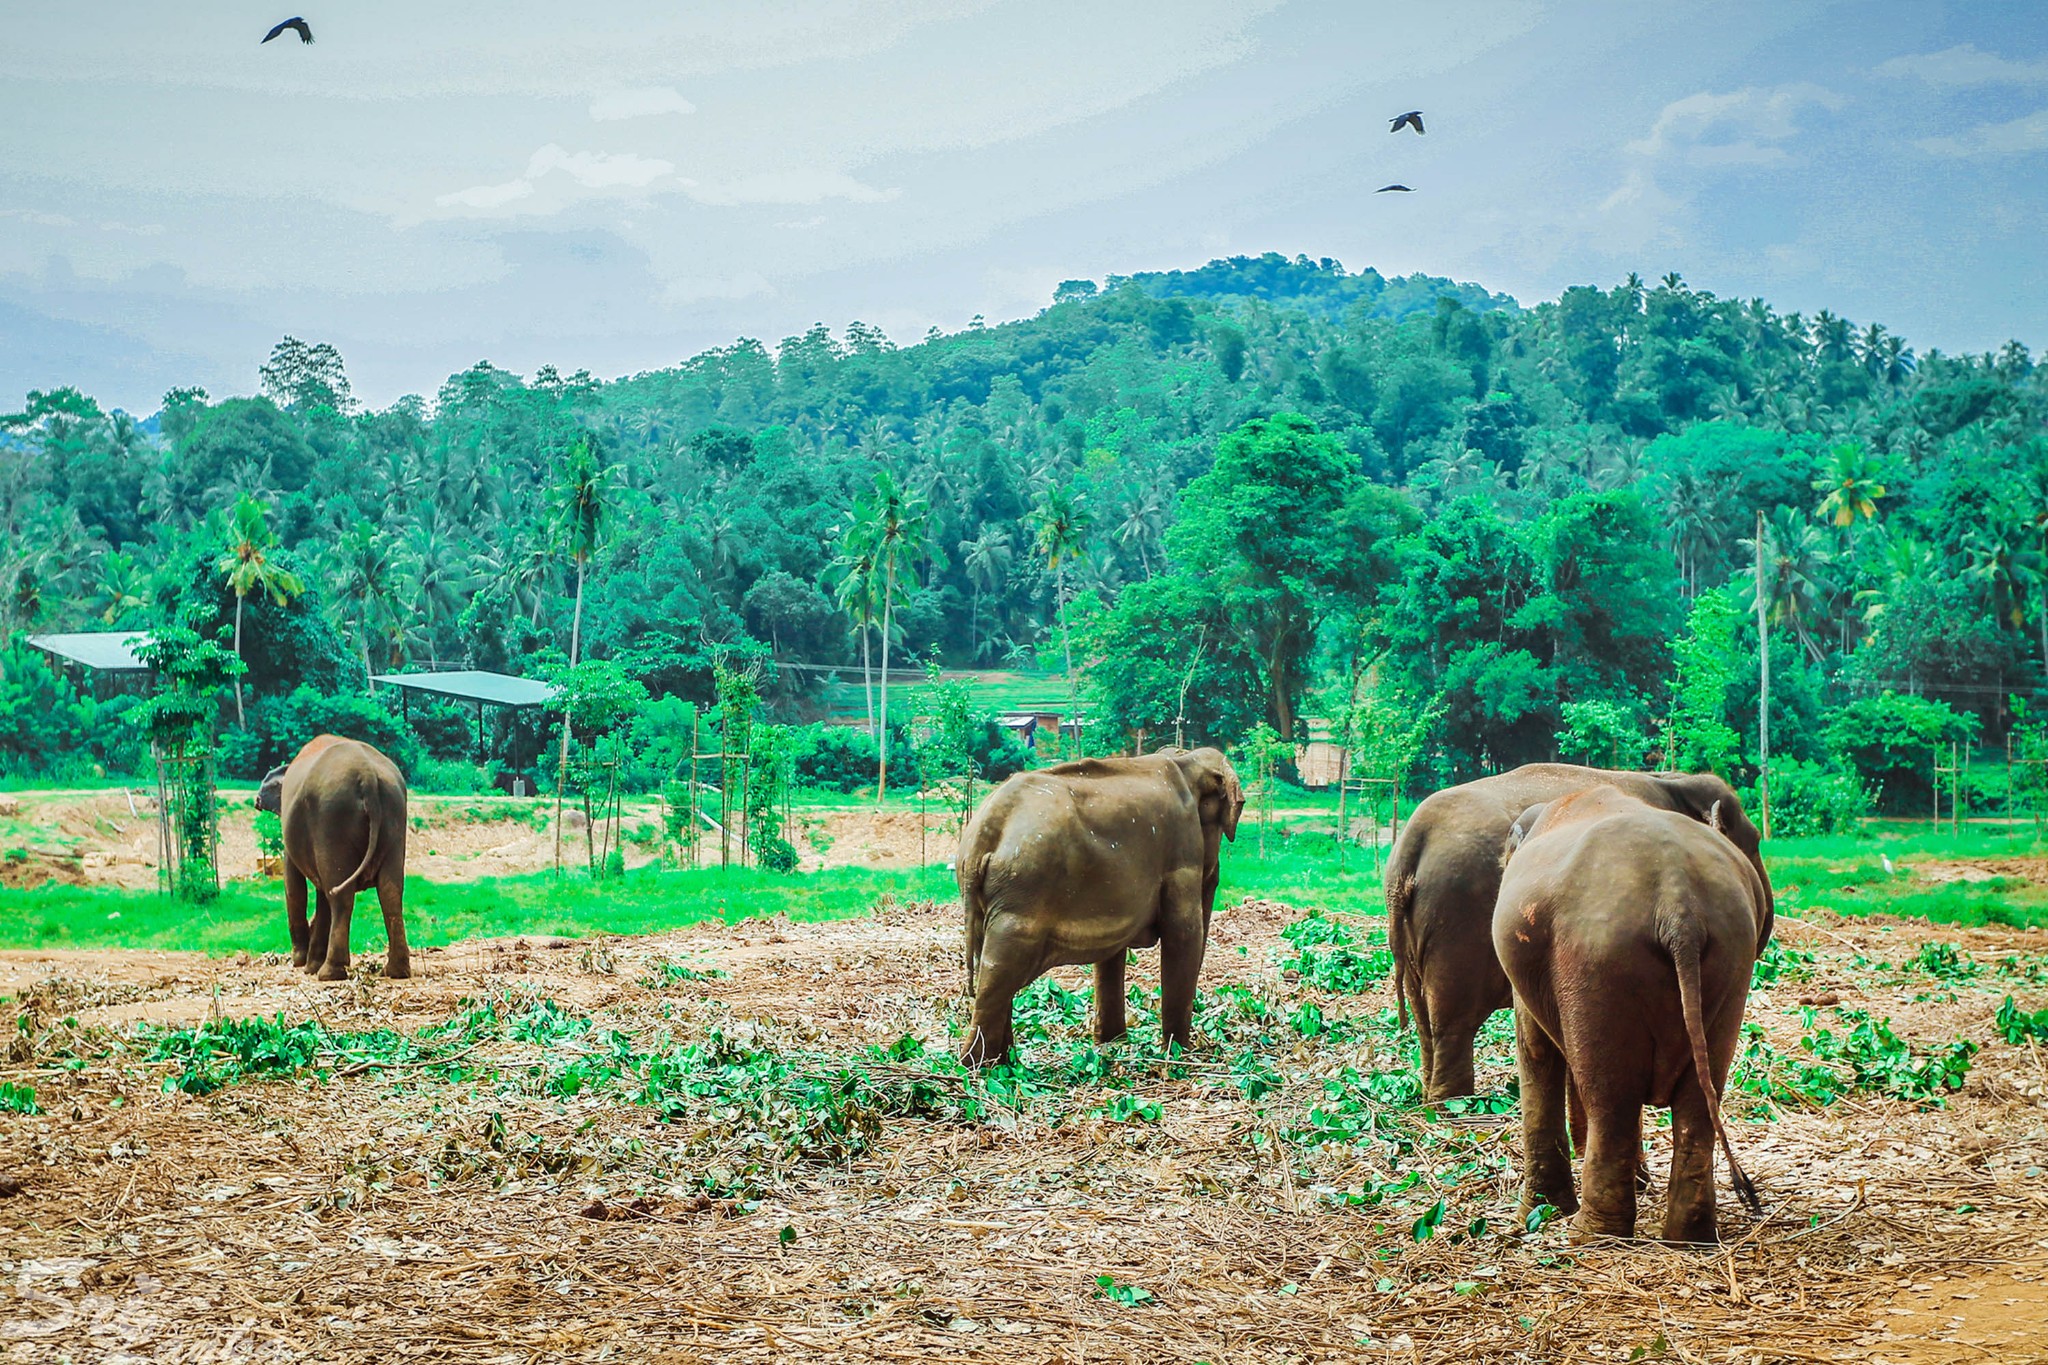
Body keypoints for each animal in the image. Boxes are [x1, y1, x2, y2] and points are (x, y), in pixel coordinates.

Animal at [256, 736, 411, 982]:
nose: (256, 801)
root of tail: (367, 775)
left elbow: (294, 885)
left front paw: (301, 962)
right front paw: (309, 964)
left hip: (332, 818)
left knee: (339, 896)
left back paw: (329, 973)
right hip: (394, 816)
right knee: (390, 892)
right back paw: (395, 972)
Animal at [962, 749, 1245, 1064]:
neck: (1185, 761)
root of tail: (984, 832)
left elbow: (1112, 952)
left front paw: (1112, 1044)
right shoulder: (1181, 853)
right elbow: (1183, 936)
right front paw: (1178, 1053)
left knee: (992, 966)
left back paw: (1006, 1062)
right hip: (1023, 894)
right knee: (998, 971)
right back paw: (978, 1067)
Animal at [1384, 769, 1769, 1096]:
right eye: (1754, 841)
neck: (1672, 781)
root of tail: (1412, 841)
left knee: (1423, 1016)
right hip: (1457, 921)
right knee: (1453, 1022)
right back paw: (1454, 1104)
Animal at [1499, 785, 1769, 1244]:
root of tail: (1679, 908)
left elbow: (1535, 1049)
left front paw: (1534, 1215)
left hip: (1596, 958)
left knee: (1610, 1096)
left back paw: (1588, 1235)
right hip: (1731, 957)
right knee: (1700, 1096)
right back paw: (1688, 1238)